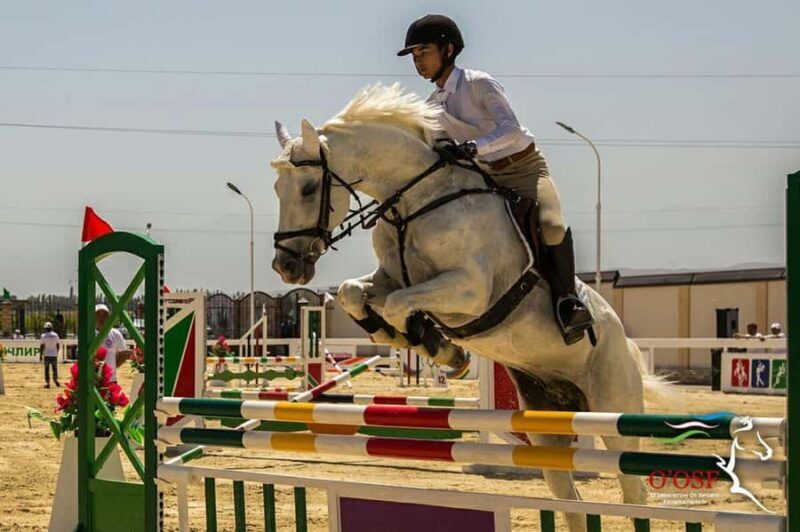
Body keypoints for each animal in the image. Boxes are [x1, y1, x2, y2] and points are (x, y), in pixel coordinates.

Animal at [270, 83, 671, 531]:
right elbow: (352, 292)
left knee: (632, 490)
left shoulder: (470, 290)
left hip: (613, 411)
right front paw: (421, 342)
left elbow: (398, 304)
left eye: (308, 188)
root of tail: (626, 344)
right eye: (277, 190)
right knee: (571, 500)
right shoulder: (392, 277)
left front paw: (440, 348)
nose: (286, 266)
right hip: (548, 426)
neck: (416, 200)